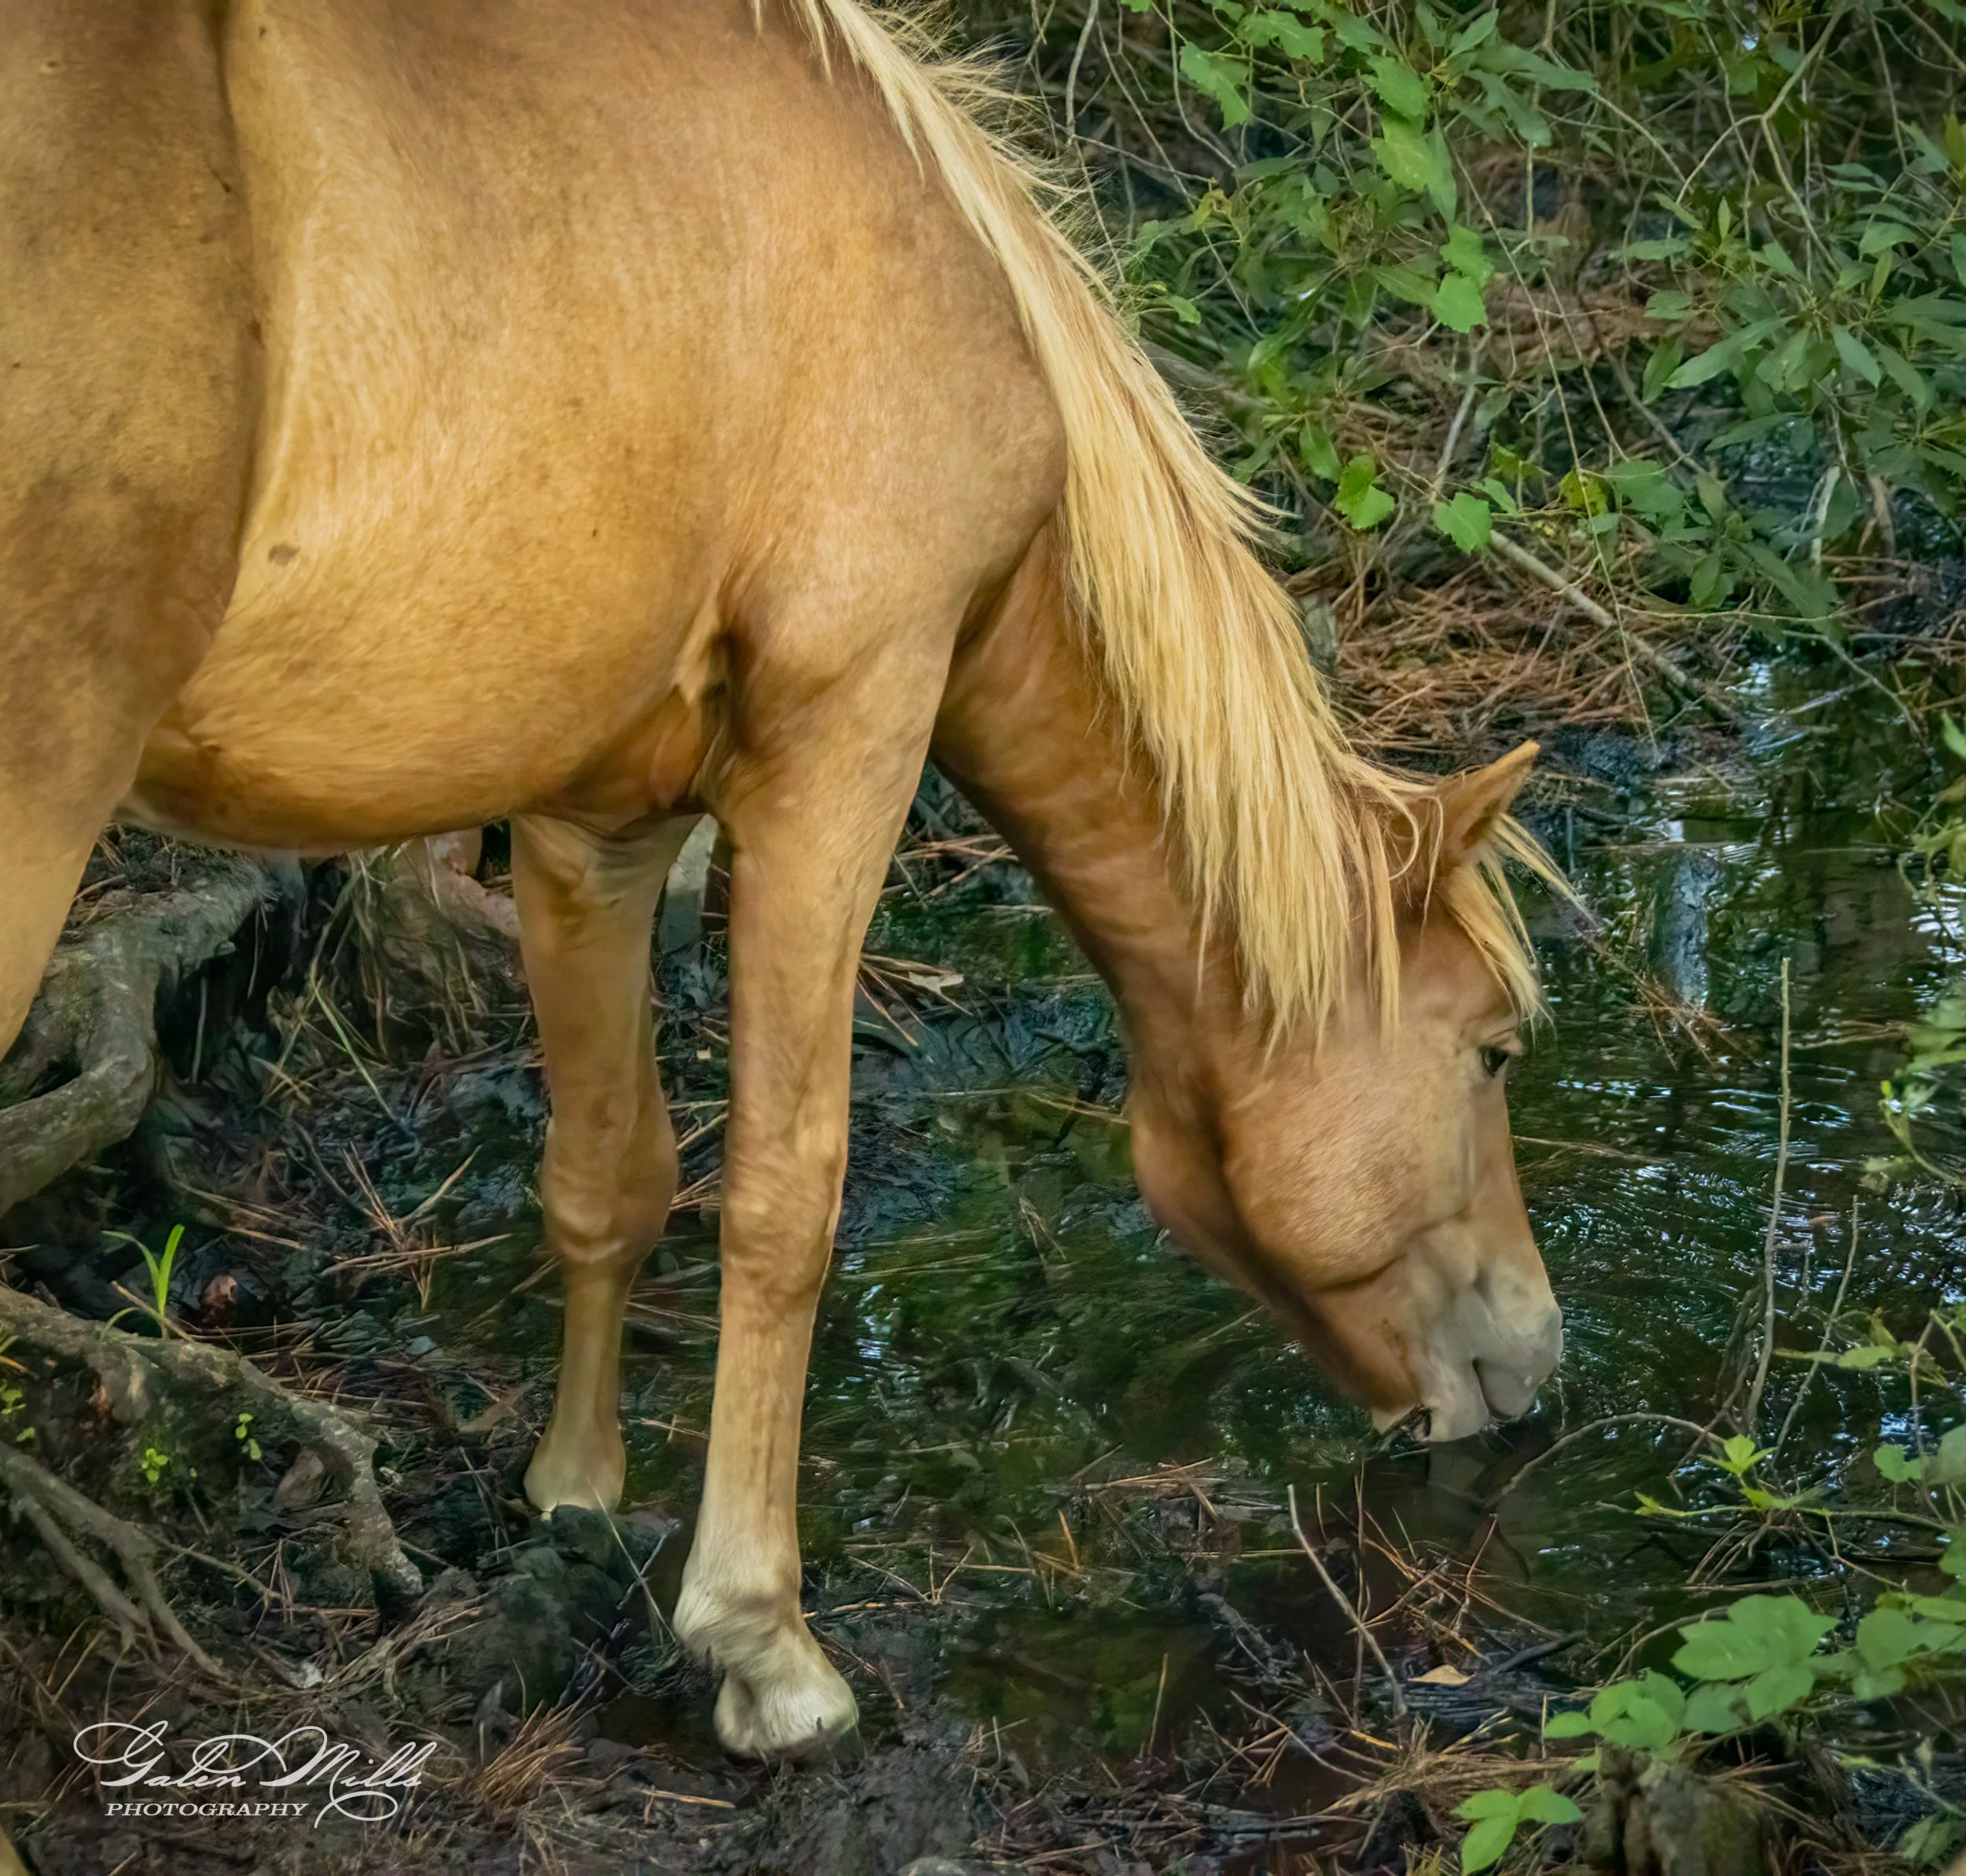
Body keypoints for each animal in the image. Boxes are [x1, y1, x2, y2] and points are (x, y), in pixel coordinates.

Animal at [0, 0, 1564, 1758]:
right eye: (1492, 1050)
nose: (1540, 1348)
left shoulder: (592, 822)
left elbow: (607, 1172)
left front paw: (574, 1493)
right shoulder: (850, 740)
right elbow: (782, 1191)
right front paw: (762, 1643)